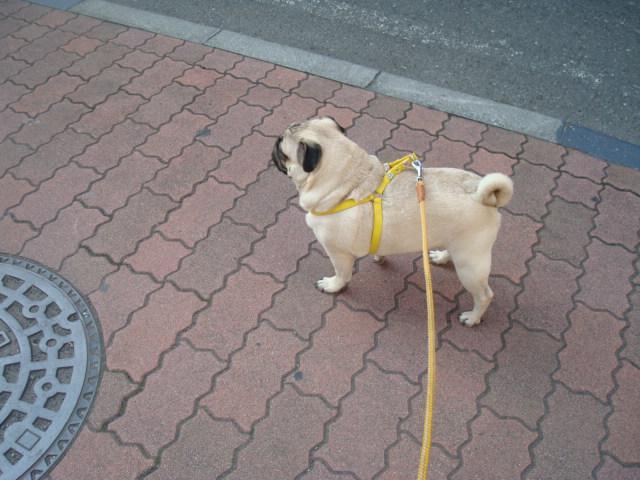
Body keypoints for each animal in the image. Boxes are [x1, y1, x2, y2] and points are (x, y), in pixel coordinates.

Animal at [271, 116, 513, 326]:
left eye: (283, 152)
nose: (274, 145)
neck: (347, 183)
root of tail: (481, 194)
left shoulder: (337, 253)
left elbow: (342, 274)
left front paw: (333, 286)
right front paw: (379, 256)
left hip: (469, 265)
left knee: (485, 295)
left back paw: (473, 318)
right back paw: (441, 256)